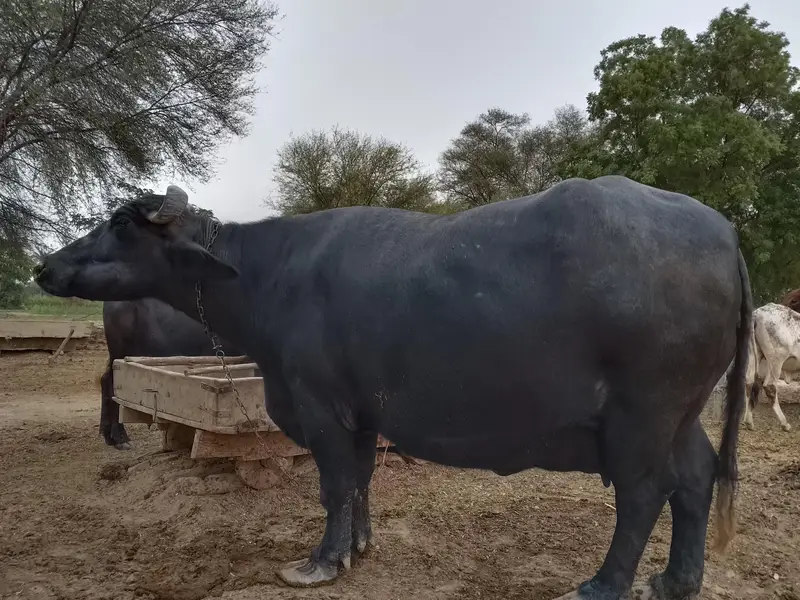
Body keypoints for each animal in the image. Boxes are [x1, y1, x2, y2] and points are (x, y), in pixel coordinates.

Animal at [35, 176, 750, 600]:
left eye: (121, 223)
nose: (46, 265)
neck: (269, 278)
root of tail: (722, 231)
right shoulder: (362, 413)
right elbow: (359, 481)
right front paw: (358, 546)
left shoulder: (319, 405)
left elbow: (333, 485)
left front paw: (319, 561)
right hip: (682, 413)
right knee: (695, 477)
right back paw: (674, 581)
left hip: (642, 414)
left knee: (644, 494)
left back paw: (602, 585)